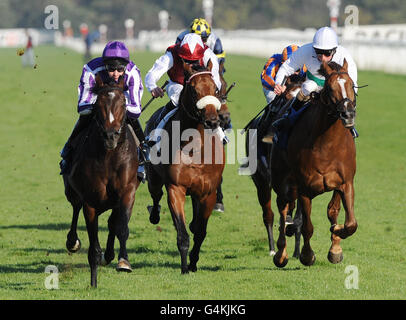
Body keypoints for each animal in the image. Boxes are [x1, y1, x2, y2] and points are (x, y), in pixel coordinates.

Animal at [62, 75, 140, 288]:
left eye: (124, 102)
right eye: (98, 104)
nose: (110, 136)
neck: (109, 157)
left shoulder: (127, 192)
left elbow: (122, 227)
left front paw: (123, 261)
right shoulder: (90, 201)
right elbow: (93, 247)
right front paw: (93, 282)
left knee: (113, 221)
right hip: (72, 191)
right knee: (75, 208)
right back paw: (73, 242)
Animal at [144, 64, 225, 272]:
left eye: (215, 89)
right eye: (194, 90)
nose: (212, 121)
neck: (195, 147)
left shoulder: (208, 192)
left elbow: (200, 232)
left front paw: (194, 262)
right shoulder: (176, 188)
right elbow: (182, 234)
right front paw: (184, 267)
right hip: (153, 178)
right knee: (156, 195)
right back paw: (154, 214)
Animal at [244, 73, 304, 258]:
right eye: (287, 97)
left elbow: (299, 218)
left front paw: (297, 252)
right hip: (261, 183)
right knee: (268, 215)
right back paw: (272, 248)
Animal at [272, 60, 356, 268]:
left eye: (351, 85)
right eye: (330, 87)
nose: (348, 114)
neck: (327, 145)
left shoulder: (345, 183)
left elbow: (347, 221)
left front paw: (336, 242)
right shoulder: (305, 188)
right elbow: (307, 226)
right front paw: (307, 255)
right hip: (281, 180)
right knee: (282, 209)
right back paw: (281, 254)